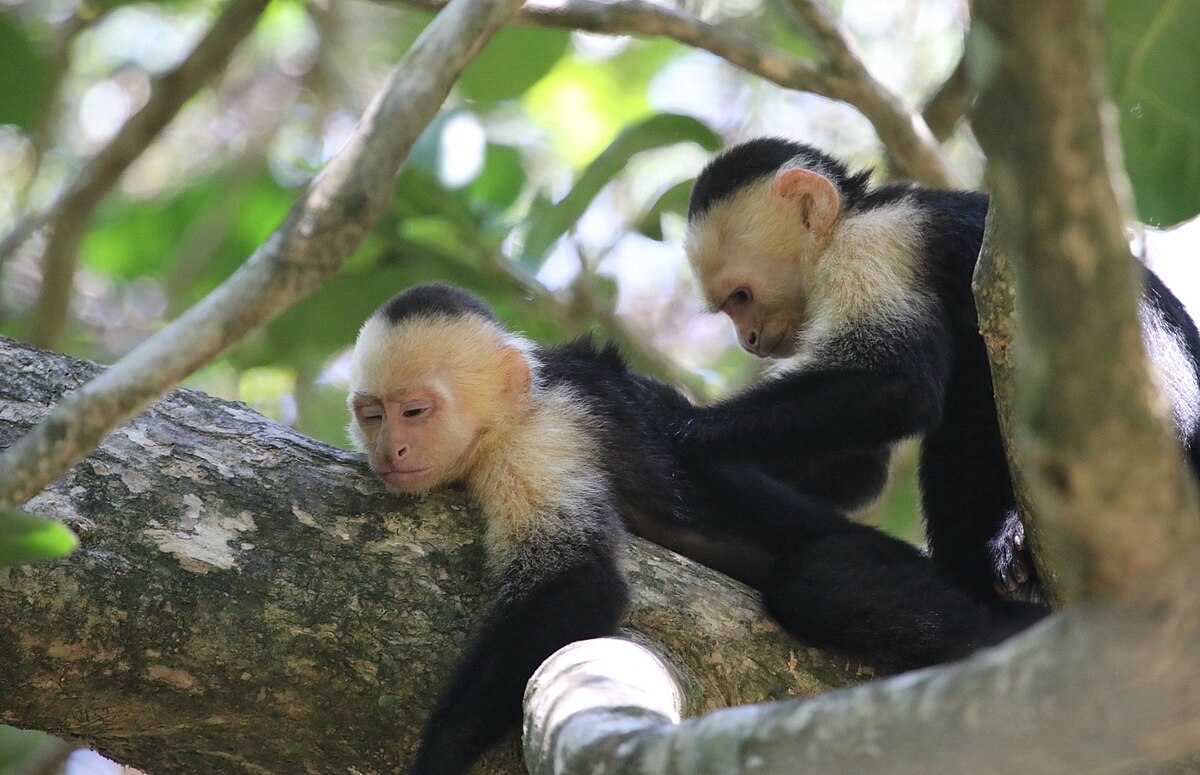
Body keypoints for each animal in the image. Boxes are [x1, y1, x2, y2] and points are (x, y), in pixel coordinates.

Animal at [345, 285, 1041, 775]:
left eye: (415, 412)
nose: (390, 451)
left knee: (815, 582)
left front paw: (435, 758)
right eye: (373, 415)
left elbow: (581, 583)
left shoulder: (542, 437)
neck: (510, 415)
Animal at [681, 137, 1200, 602]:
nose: (747, 340)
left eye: (741, 297)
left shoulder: (872, 249)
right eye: (730, 306)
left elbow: (897, 385)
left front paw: (683, 424)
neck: (849, 222)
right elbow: (862, 469)